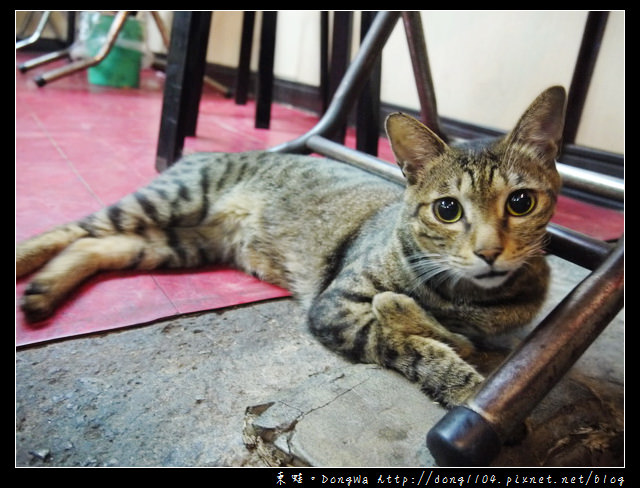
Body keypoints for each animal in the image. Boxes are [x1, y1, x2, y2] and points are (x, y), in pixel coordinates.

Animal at [15, 86, 564, 408]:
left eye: (520, 202)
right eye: (448, 209)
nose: (489, 251)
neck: (466, 297)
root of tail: (206, 152)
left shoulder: (500, 327)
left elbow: (459, 337)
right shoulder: (334, 308)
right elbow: (403, 342)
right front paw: (465, 384)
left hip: (182, 244)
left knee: (100, 245)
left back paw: (43, 291)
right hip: (171, 200)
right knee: (75, 228)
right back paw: (26, 263)